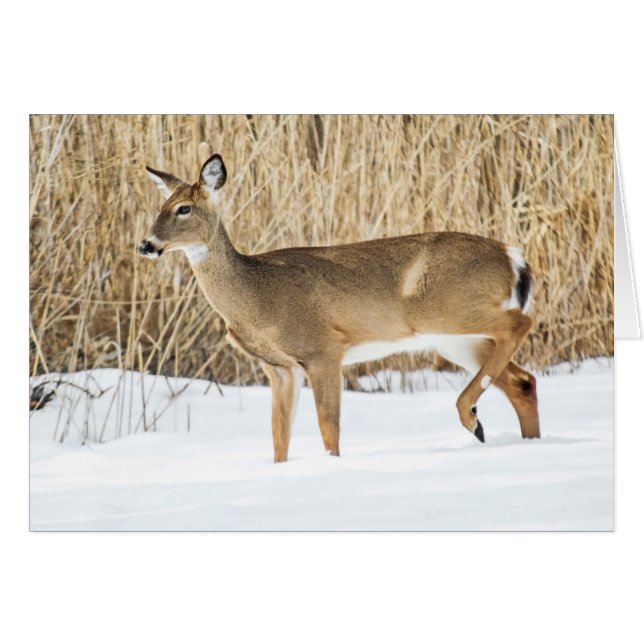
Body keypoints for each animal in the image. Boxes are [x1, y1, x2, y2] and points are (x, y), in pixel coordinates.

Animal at [139, 154, 540, 462]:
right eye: (159, 207)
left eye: (183, 209)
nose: (145, 245)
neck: (257, 295)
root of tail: (513, 257)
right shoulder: (280, 368)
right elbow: (279, 439)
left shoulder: (323, 350)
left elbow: (328, 429)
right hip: (452, 337)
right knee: (523, 380)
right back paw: (517, 437)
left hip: (445, 311)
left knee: (522, 323)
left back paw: (471, 418)